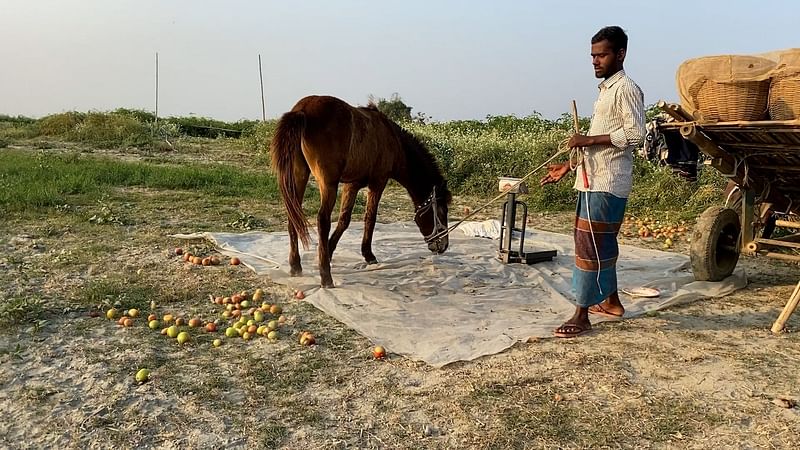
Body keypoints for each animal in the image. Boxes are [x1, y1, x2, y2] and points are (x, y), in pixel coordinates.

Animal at [272, 95, 454, 288]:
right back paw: (325, 276)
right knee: (322, 221)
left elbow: (344, 220)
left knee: (294, 214)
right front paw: (368, 255)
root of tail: (303, 110)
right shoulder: (377, 182)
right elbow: (370, 218)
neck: (393, 140)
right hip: (328, 184)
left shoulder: (352, 185)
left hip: (299, 176)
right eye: (442, 211)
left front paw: (329, 250)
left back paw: (296, 265)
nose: (443, 246)